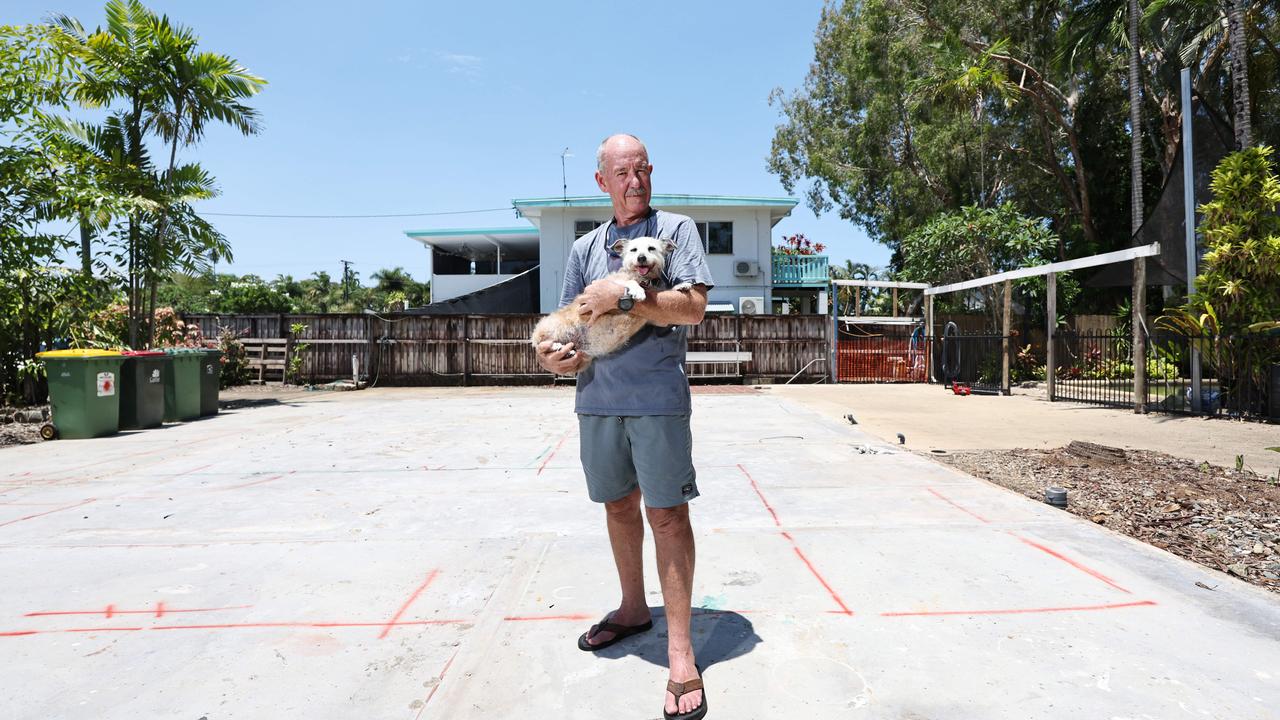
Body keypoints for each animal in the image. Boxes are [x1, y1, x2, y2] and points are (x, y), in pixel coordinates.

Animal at [529, 235, 691, 363]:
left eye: (651, 248)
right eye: (634, 250)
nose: (641, 258)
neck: (643, 279)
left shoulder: (657, 319)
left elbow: (664, 293)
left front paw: (680, 286)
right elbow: (628, 282)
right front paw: (637, 290)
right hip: (555, 326)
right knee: (540, 342)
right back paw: (557, 346)